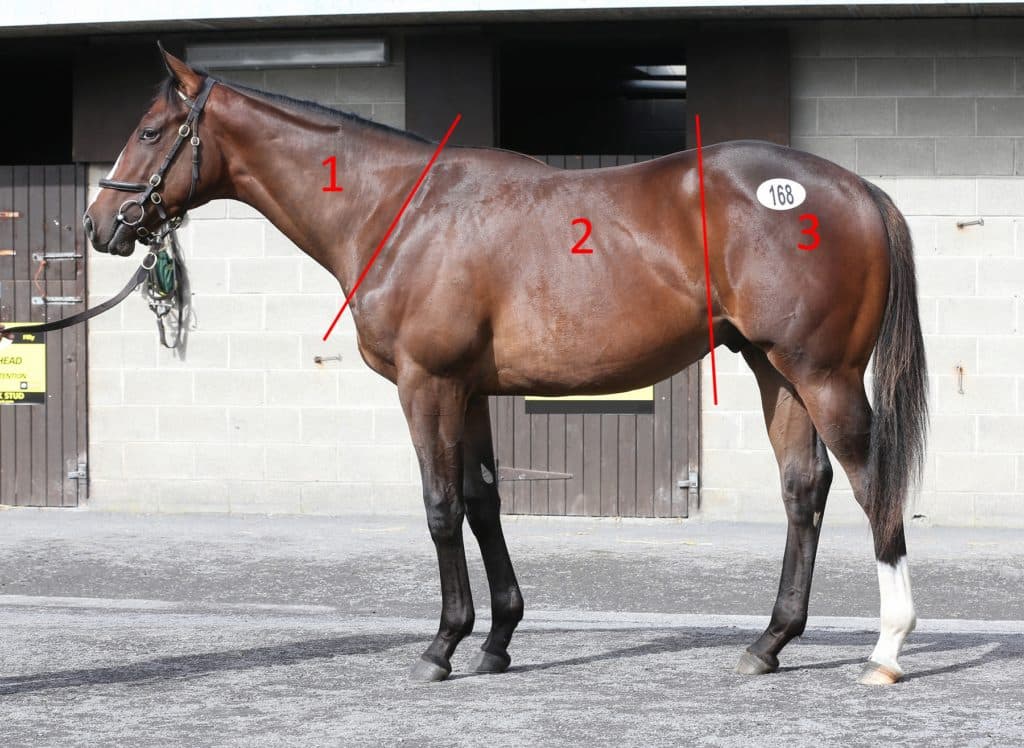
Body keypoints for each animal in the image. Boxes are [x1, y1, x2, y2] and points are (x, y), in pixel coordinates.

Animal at [84, 45, 928, 686]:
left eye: (151, 129)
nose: (100, 225)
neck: (403, 210)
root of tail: (858, 187)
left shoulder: (427, 385)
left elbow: (438, 507)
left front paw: (442, 645)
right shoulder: (471, 391)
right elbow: (483, 501)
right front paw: (495, 640)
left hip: (821, 375)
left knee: (872, 485)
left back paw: (886, 649)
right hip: (775, 370)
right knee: (804, 489)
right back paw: (768, 643)